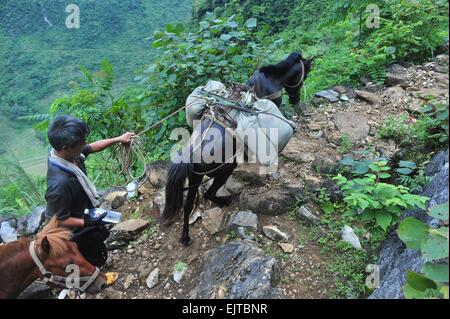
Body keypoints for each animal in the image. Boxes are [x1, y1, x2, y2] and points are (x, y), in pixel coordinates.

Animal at [162, 53, 312, 248]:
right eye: (305, 75)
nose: (295, 100)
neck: (270, 79)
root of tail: (191, 154)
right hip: (224, 170)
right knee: (209, 193)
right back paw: (225, 201)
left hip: (195, 178)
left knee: (188, 206)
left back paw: (185, 237)